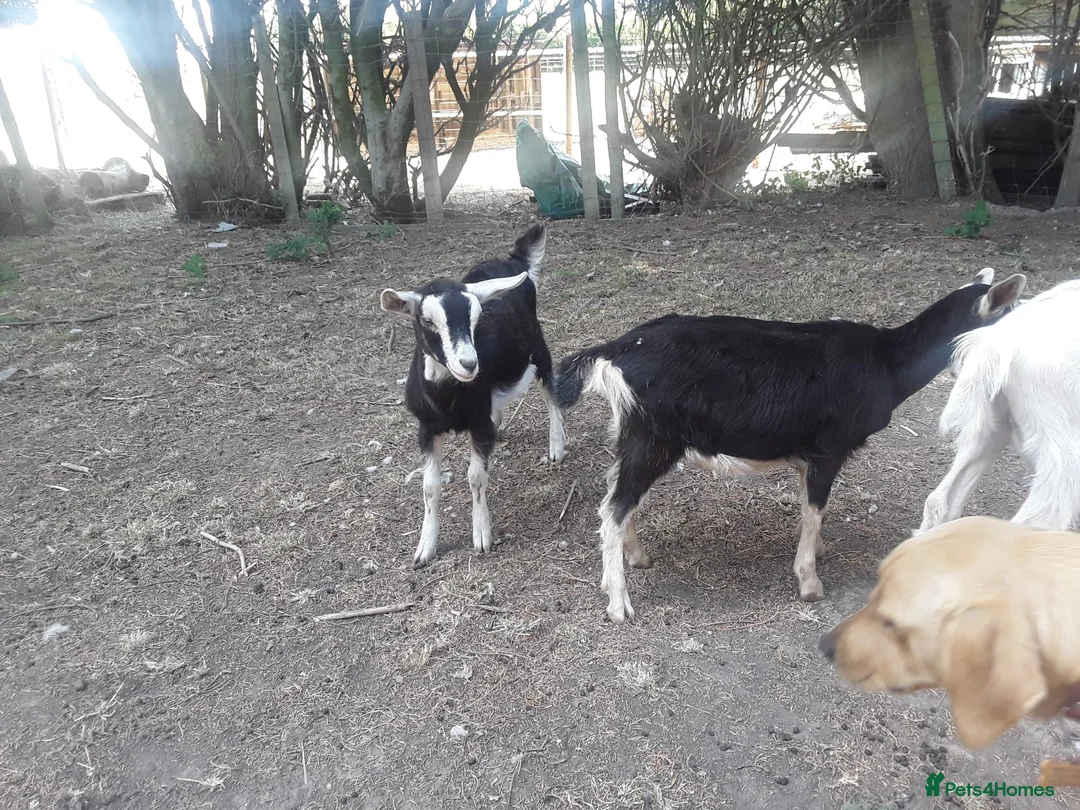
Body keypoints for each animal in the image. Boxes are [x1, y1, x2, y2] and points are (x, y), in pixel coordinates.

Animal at [381, 223, 566, 565]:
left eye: (476, 318)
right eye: (426, 320)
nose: (469, 363)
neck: (448, 400)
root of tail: (512, 260)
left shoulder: (478, 424)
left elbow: (476, 477)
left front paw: (481, 536)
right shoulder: (426, 429)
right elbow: (429, 487)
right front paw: (425, 548)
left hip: (537, 344)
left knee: (550, 388)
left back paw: (556, 445)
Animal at [554, 268, 1026, 623]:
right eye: (1010, 314)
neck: (885, 363)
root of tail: (616, 350)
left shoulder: (806, 455)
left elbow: (808, 509)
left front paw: (816, 550)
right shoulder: (828, 451)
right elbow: (815, 509)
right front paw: (810, 583)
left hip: (634, 434)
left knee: (619, 496)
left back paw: (636, 557)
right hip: (654, 437)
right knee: (613, 509)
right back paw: (619, 604)